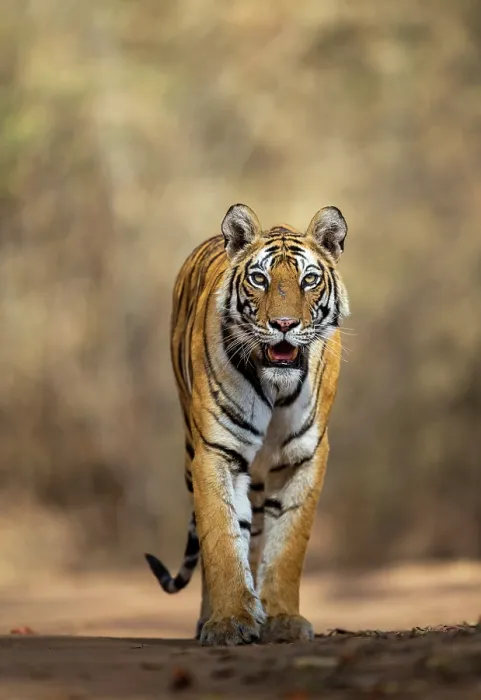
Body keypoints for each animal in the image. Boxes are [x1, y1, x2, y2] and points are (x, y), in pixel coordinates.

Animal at [145, 203, 349, 646]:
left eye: (309, 280)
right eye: (260, 278)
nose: (285, 325)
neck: (276, 386)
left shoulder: (305, 457)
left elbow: (287, 544)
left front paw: (283, 620)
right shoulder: (216, 452)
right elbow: (222, 538)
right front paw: (228, 623)